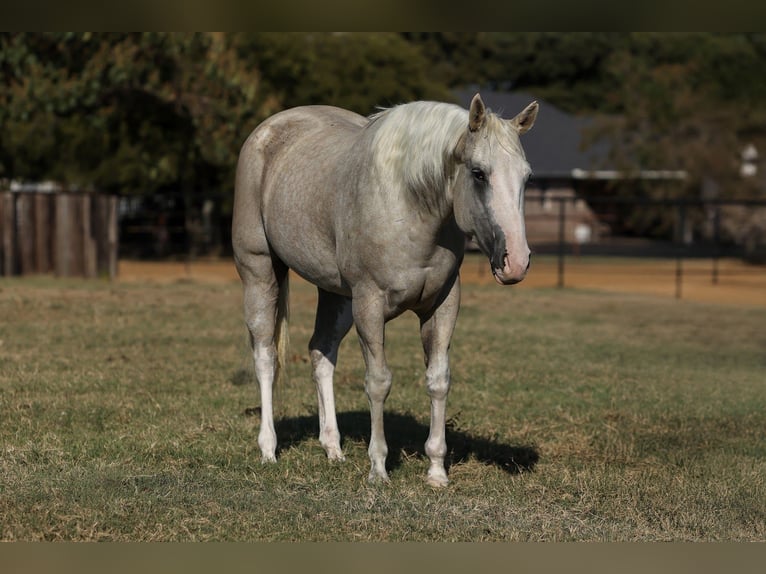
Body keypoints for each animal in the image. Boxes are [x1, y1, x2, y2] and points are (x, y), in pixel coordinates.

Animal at [232, 93, 538, 486]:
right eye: (479, 173)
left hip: (336, 296)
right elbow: (378, 382)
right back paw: (268, 449)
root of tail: (268, 131)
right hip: (259, 272)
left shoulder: (442, 305)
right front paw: (378, 469)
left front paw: (436, 471)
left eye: (526, 176)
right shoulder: (370, 304)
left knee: (321, 353)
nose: (515, 262)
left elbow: (438, 380)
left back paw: (333, 448)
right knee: (266, 356)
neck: (409, 207)